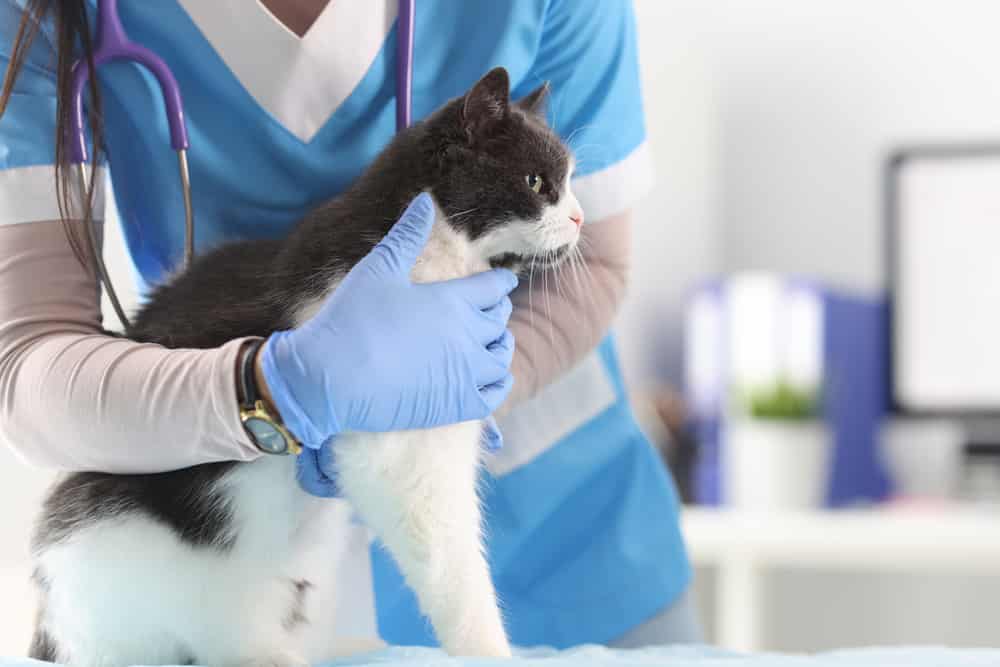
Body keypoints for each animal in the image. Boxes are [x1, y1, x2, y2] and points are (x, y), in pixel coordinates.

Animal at [27, 65, 584, 664]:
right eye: (536, 182)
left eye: (570, 180)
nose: (579, 217)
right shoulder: (400, 448)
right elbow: (451, 561)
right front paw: (487, 648)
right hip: (106, 551)